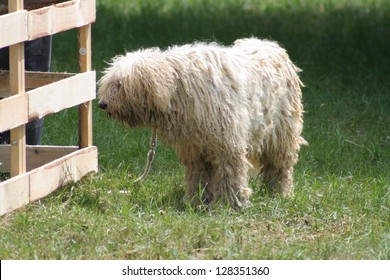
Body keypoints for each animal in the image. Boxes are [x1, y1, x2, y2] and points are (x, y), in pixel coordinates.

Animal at [96, 37, 304, 208]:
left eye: (120, 84)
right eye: (110, 82)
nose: (102, 104)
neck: (178, 88)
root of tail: (272, 46)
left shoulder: (227, 144)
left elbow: (230, 173)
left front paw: (231, 202)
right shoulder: (194, 147)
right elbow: (198, 175)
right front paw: (198, 200)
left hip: (281, 134)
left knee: (279, 167)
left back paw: (278, 193)